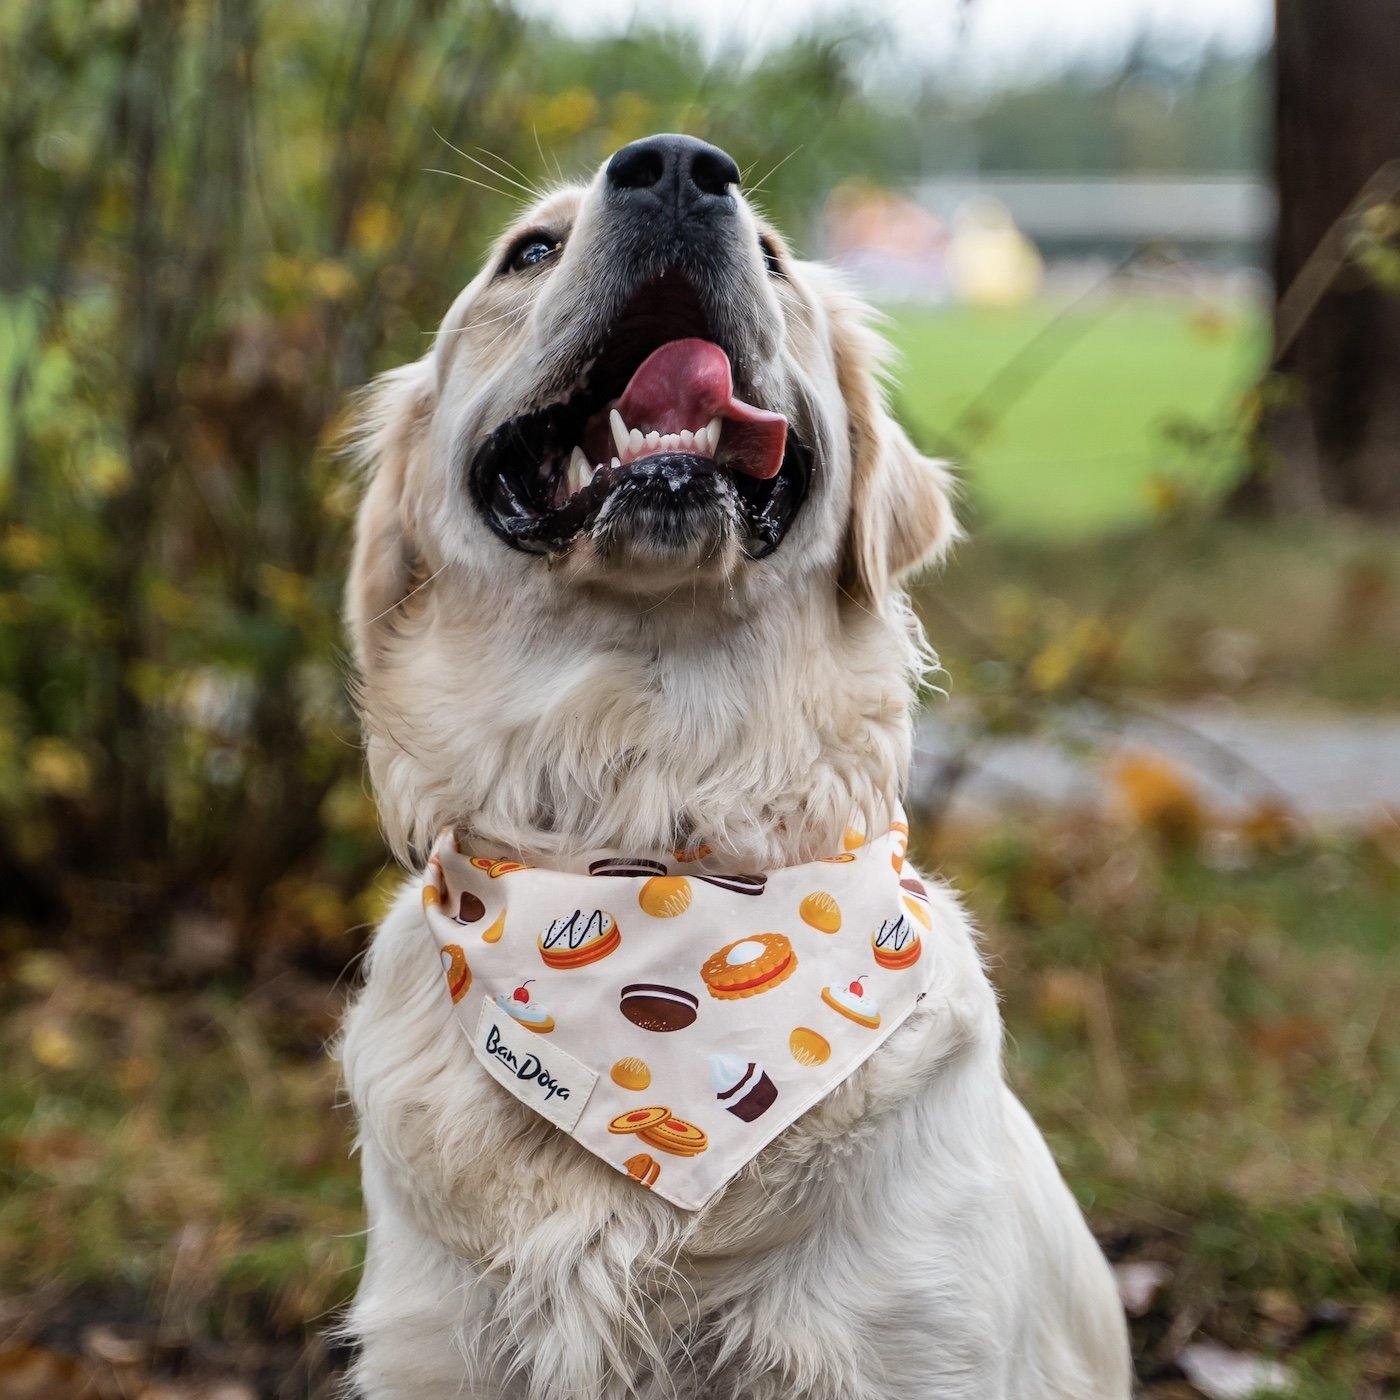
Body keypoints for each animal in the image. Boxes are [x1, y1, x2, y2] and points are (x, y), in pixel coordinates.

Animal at [338, 133, 1125, 1400]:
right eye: (528, 252)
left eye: (771, 255)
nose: (672, 168)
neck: (653, 819)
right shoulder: (438, 1343)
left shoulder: (908, 1343)